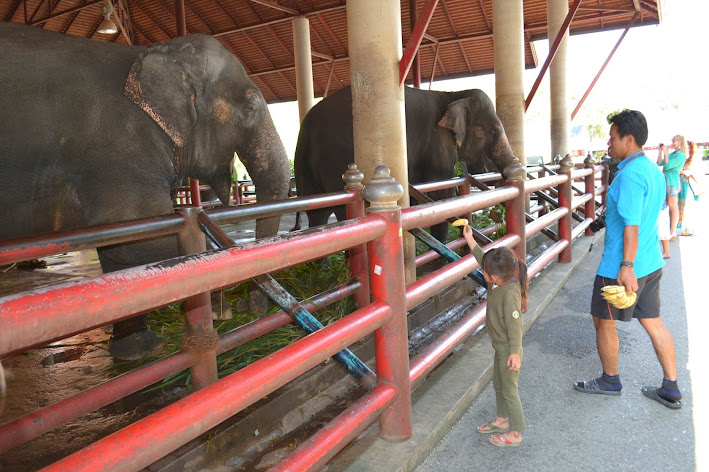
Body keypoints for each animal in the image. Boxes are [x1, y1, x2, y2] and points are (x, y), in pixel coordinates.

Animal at [0, 23, 290, 358]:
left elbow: (121, 248)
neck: (152, 53)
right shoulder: (120, 149)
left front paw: (138, 350)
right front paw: (221, 307)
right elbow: (142, 236)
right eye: (251, 106)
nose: (250, 306)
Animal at [294, 85, 520, 242]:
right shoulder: (438, 144)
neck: (453, 94)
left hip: (304, 165)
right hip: (336, 160)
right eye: (493, 131)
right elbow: (440, 195)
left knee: (318, 214)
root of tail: (307, 126)